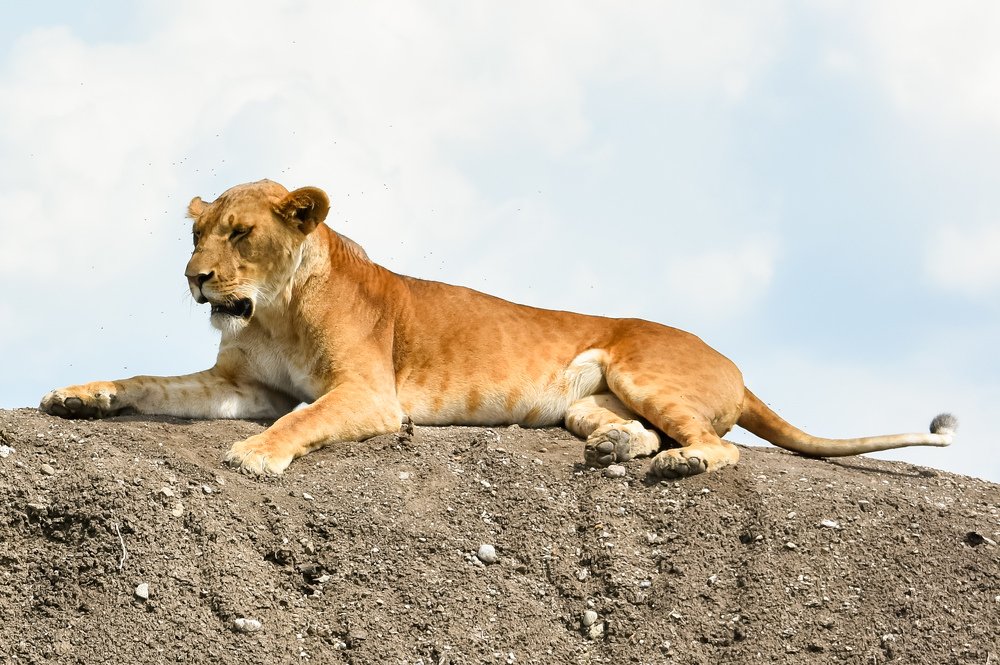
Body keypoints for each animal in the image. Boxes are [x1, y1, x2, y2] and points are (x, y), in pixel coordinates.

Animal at [40, 179, 957, 477]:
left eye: (239, 234)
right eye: (196, 233)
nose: (193, 278)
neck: (274, 307)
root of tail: (736, 362)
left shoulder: (370, 395)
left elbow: (303, 418)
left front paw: (255, 456)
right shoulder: (239, 384)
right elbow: (148, 380)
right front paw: (76, 395)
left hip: (643, 367)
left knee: (718, 445)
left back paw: (679, 463)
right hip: (591, 394)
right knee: (638, 430)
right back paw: (615, 448)